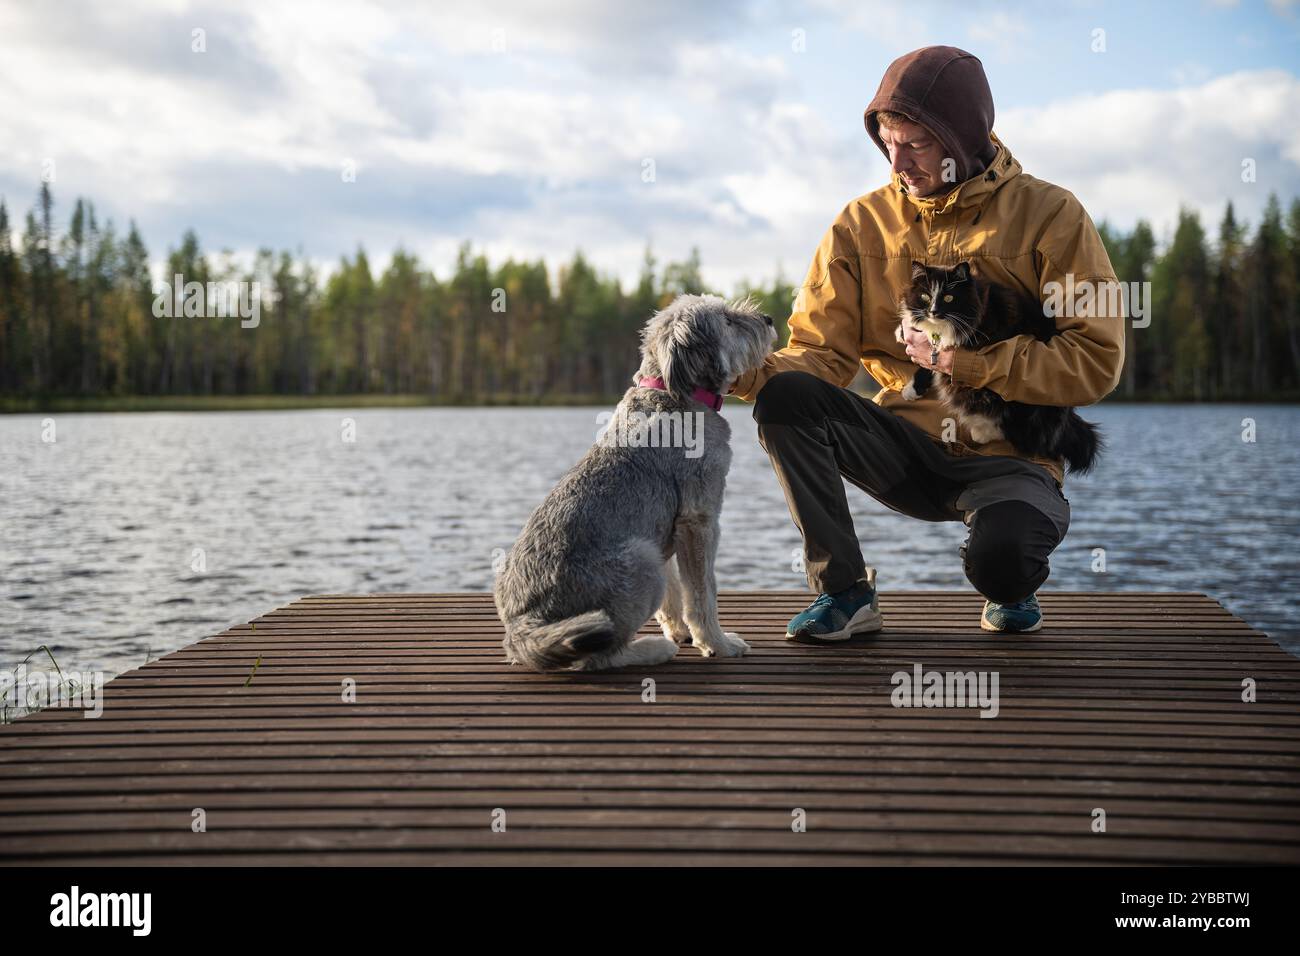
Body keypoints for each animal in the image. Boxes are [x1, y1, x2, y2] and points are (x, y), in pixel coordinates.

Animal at [491, 293, 774, 671]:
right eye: (727, 320)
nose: (770, 319)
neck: (674, 394)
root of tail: (521, 627)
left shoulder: (665, 531)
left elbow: (675, 593)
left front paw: (681, 632)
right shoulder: (699, 520)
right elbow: (703, 593)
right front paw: (718, 643)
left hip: (647, 556)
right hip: (640, 565)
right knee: (597, 657)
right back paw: (653, 649)